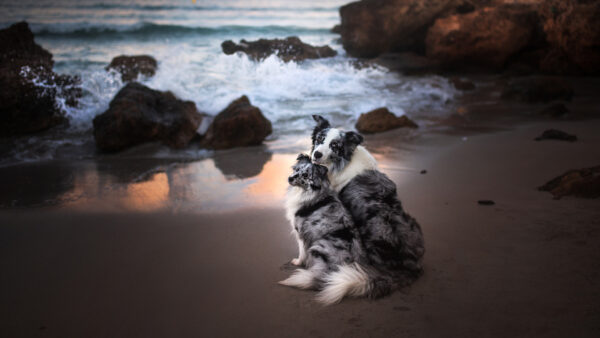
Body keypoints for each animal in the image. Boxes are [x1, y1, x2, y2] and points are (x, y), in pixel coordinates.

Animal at [280, 153, 394, 304]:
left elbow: (302, 252)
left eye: (305, 175)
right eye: (296, 170)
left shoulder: (301, 233)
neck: (309, 192)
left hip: (318, 246)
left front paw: (298, 262)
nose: (290, 178)